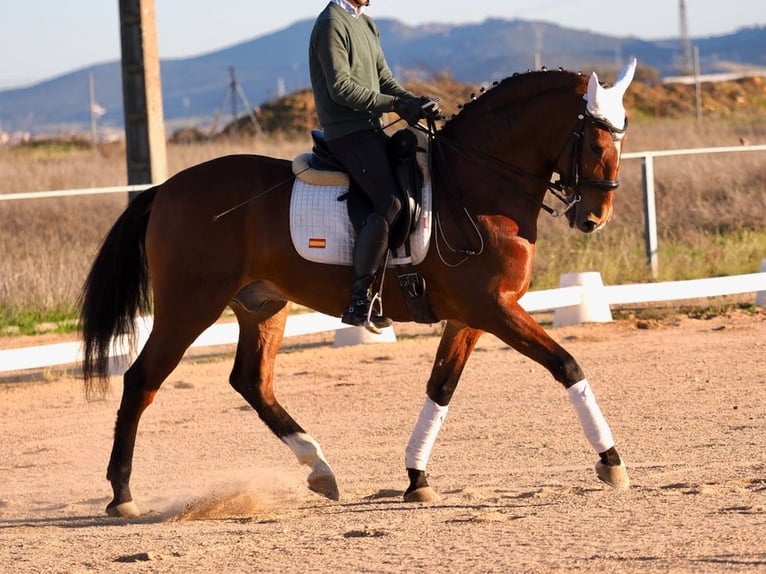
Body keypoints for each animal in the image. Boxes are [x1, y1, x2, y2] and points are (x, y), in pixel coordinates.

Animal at [81, 59, 640, 520]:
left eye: (622, 137)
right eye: (596, 142)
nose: (594, 218)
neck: (479, 182)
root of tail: (165, 189)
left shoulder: (471, 315)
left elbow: (441, 387)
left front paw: (417, 478)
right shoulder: (492, 307)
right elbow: (566, 365)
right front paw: (611, 461)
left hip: (263, 305)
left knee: (251, 382)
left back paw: (319, 469)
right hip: (191, 304)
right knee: (142, 380)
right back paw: (122, 495)